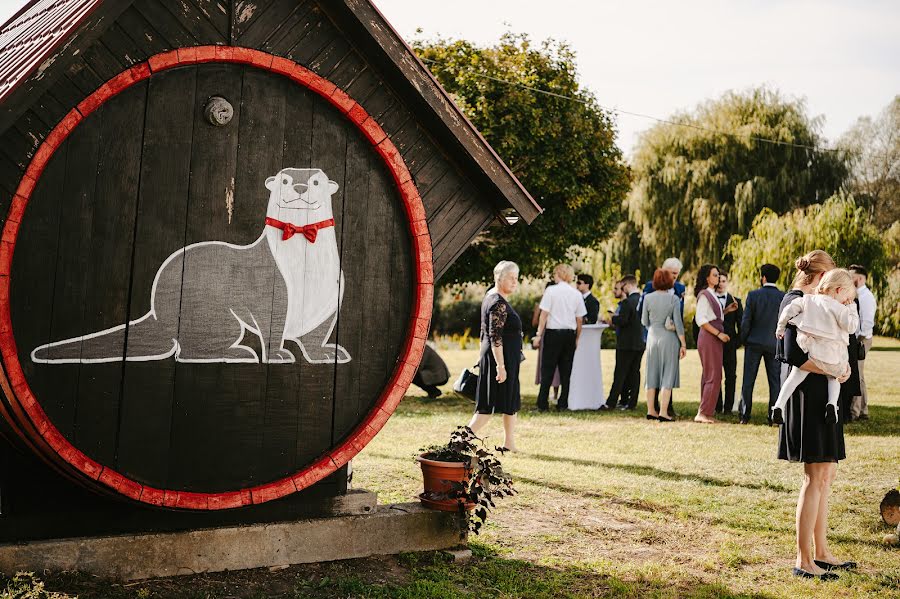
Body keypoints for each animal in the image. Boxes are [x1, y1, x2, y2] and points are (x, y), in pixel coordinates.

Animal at [31, 168, 350, 366]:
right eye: (285, 181)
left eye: (316, 182)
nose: (299, 186)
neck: (306, 267)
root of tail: (159, 315)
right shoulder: (269, 294)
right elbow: (271, 327)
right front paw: (277, 355)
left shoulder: (329, 304)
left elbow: (315, 336)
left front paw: (324, 354)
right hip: (216, 317)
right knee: (191, 351)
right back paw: (239, 352)